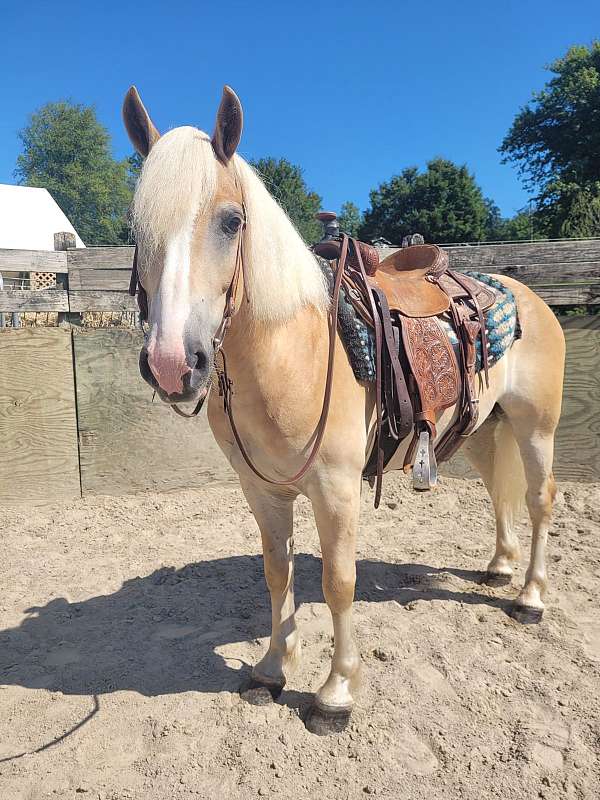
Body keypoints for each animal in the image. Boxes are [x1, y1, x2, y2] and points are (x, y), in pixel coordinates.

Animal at [123, 86, 568, 732]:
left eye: (232, 221)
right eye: (138, 228)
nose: (172, 363)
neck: (294, 348)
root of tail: (527, 295)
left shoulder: (335, 487)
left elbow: (337, 581)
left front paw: (336, 691)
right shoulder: (262, 490)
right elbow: (277, 571)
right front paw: (272, 669)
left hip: (536, 426)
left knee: (538, 498)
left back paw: (530, 597)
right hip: (487, 427)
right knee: (498, 491)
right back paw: (500, 567)